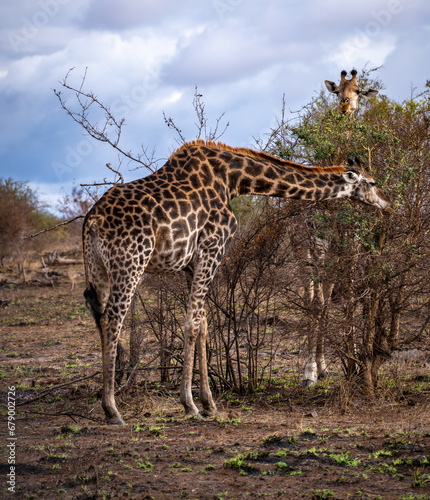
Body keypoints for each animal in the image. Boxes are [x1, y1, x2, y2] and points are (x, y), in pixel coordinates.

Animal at [82, 139, 392, 424]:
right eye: (372, 182)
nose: (387, 205)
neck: (233, 180)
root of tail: (92, 221)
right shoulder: (213, 247)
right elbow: (193, 323)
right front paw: (190, 404)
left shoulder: (191, 263)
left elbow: (203, 323)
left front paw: (209, 403)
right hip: (131, 264)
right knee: (112, 319)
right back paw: (112, 410)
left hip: (99, 270)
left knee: (99, 317)